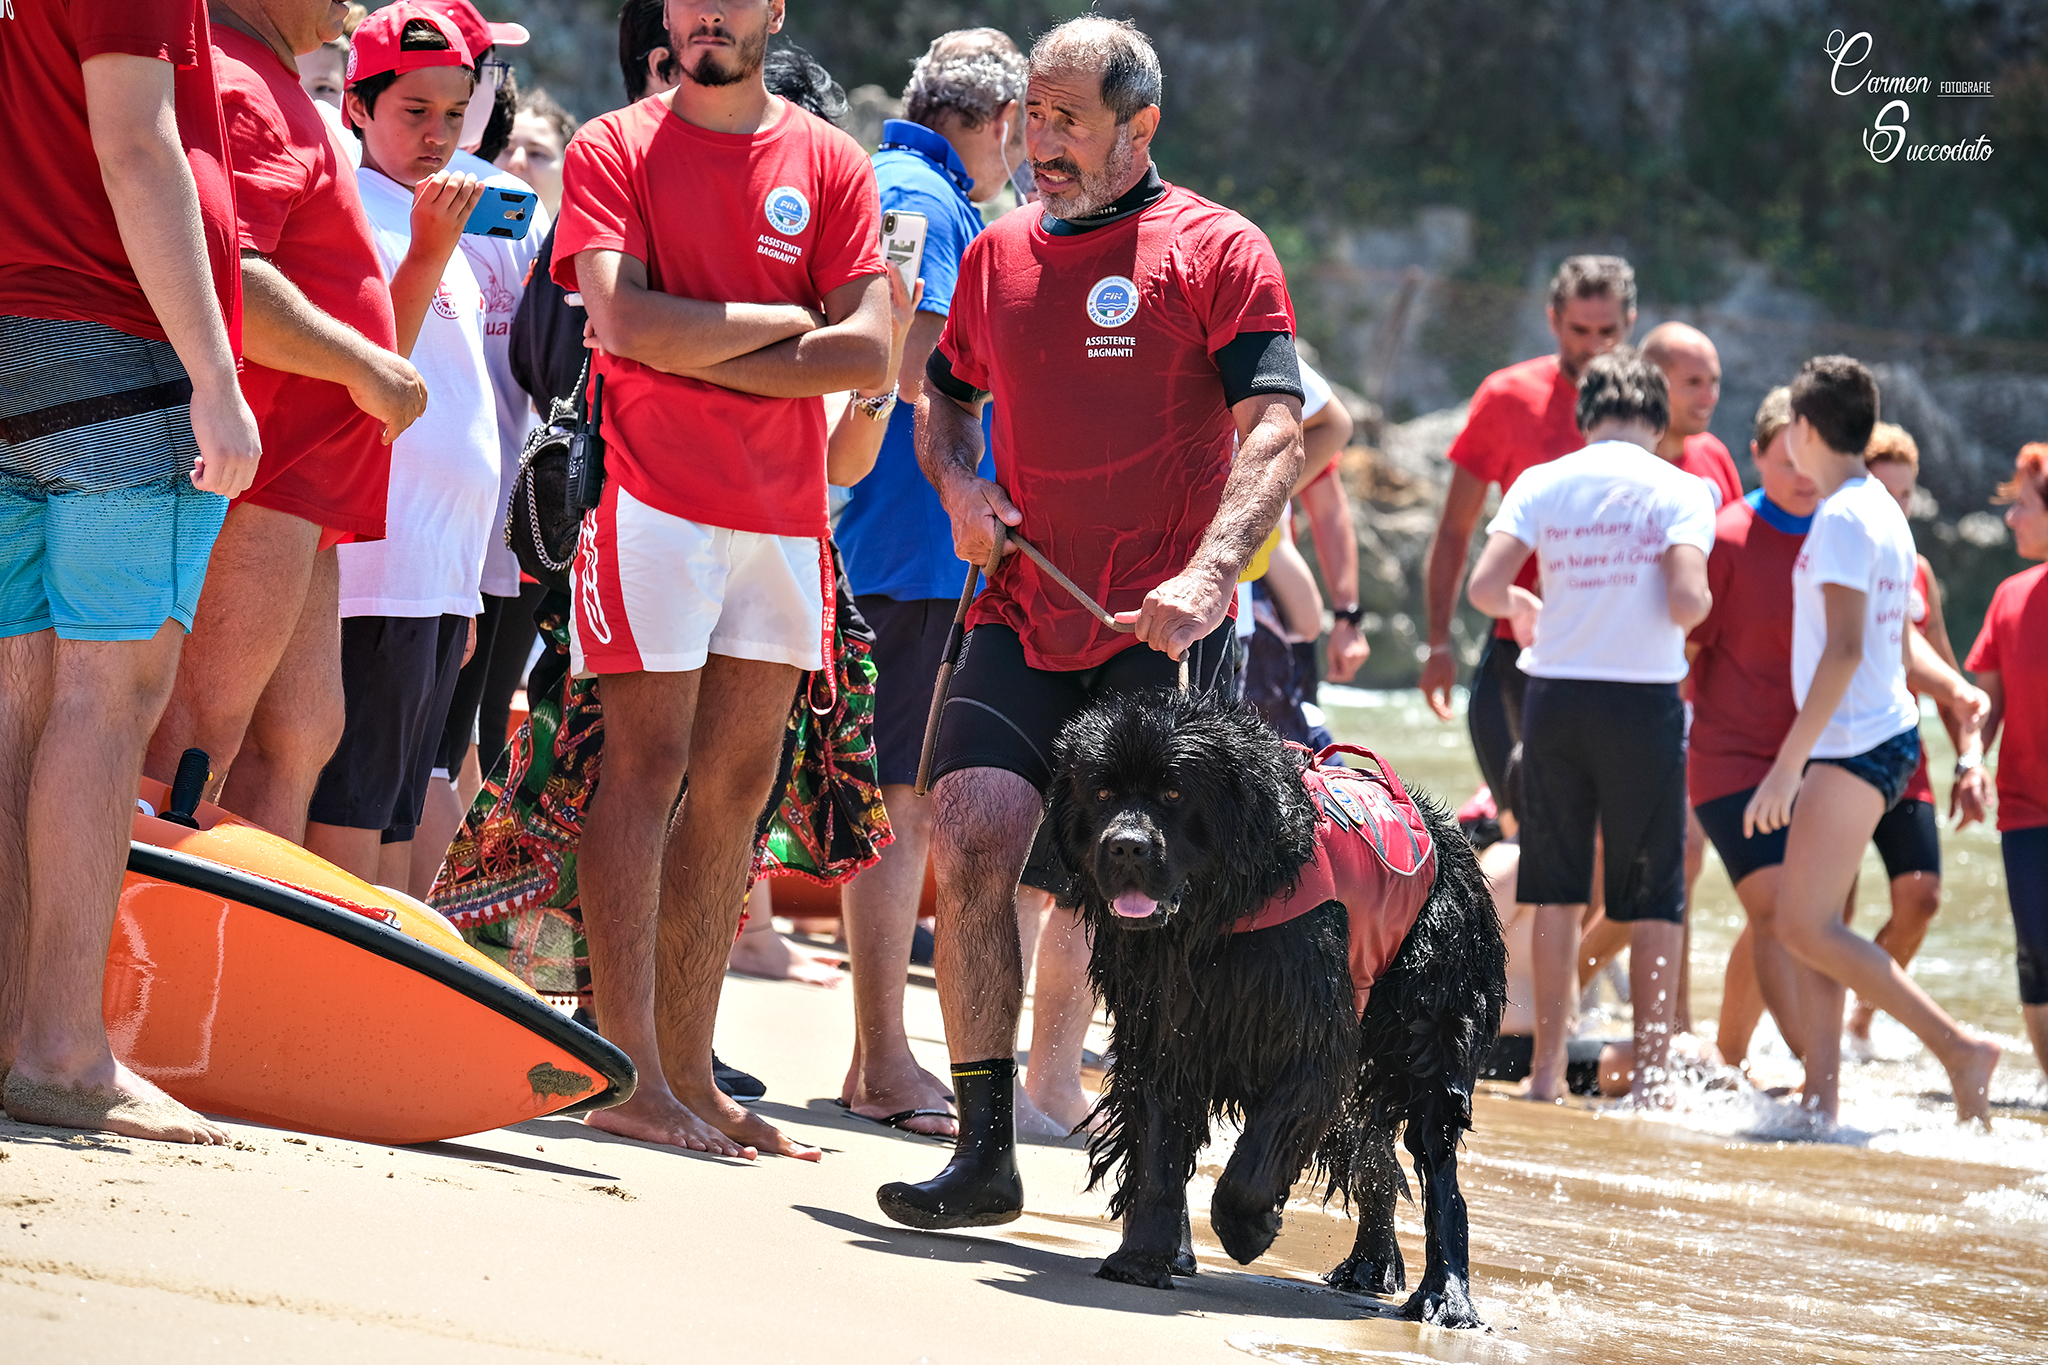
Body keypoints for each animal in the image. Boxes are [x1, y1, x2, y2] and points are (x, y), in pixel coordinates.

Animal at [1048, 687, 1515, 1326]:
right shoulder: (1162, 1029)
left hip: (1429, 1029)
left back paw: (1445, 1295)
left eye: (1174, 793)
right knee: (1373, 1155)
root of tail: (1451, 838)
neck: (1216, 917)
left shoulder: (1310, 1037)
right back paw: (1370, 1265)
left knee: (1437, 1165)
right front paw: (1142, 1258)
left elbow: (1256, 1160)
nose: (1125, 846)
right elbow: (1159, 1149)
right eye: (1100, 793)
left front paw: (1246, 1228)